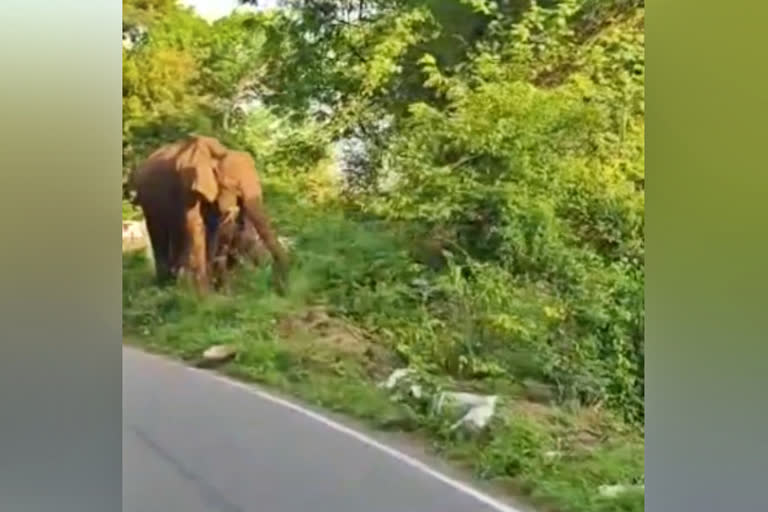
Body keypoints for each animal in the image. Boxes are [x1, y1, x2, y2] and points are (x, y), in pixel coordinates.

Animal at [130, 134, 292, 294]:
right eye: (235, 186)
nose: (282, 288)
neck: (217, 154)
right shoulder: (188, 187)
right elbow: (196, 226)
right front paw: (207, 297)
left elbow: (213, 229)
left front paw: (214, 291)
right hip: (148, 203)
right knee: (158, 233)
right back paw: (165, 286)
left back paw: (175, 284)